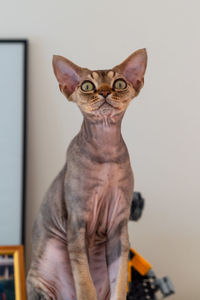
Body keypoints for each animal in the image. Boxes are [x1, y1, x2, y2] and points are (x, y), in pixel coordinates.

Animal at [27, 48, 147, 298]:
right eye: (87, 86)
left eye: (119, 83)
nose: (104, 91)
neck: (106, 155)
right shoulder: (76, 224)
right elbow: (84, 284)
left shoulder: (119, 229)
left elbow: (120, 283)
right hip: (40, 280)